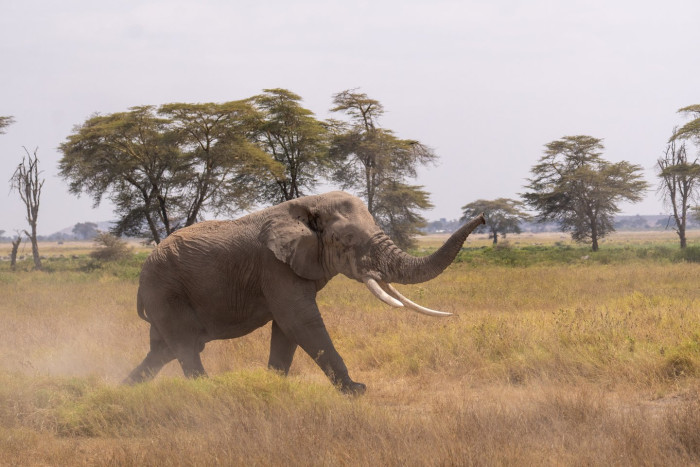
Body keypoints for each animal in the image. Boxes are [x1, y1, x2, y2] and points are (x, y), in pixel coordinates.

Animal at [124, 191, 485, 394]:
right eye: (347, 241)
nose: (482, 216)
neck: (307, 207)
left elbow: (286, 330)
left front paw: (272, 386)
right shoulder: (274, 266)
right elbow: (301, 321)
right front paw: (357, 391)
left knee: (165, 350)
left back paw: (123, 391)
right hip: (165, 291)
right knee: (185, 346)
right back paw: (207, 392)